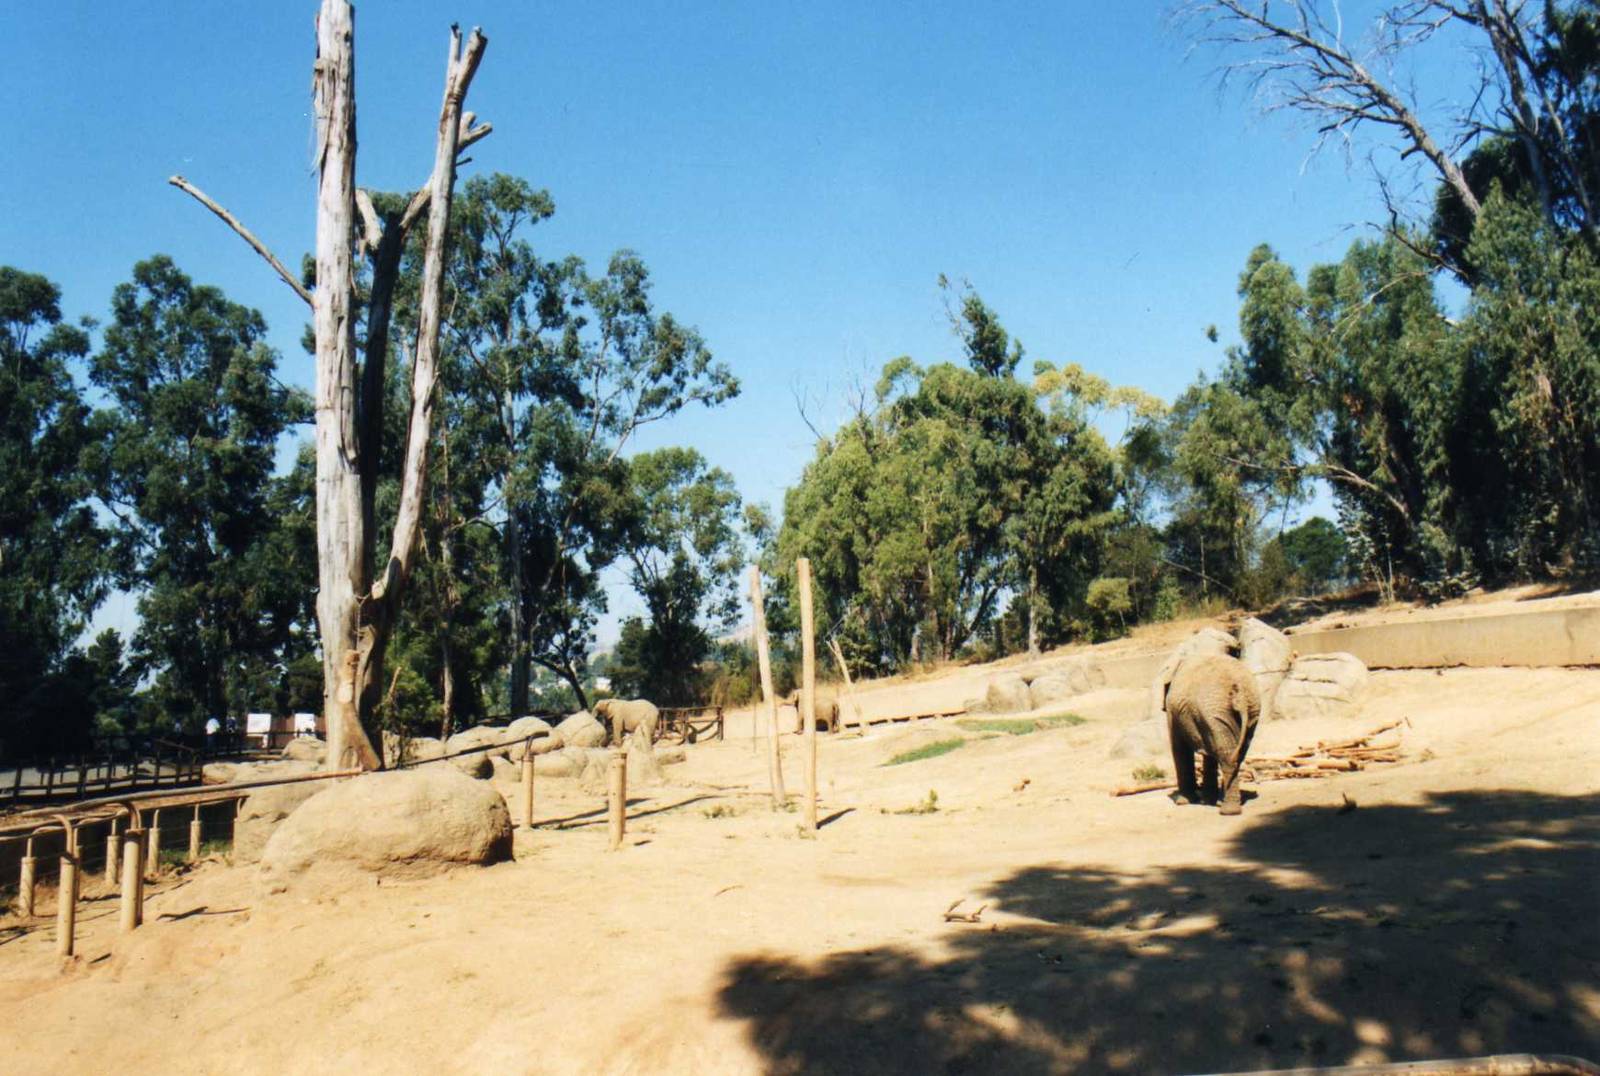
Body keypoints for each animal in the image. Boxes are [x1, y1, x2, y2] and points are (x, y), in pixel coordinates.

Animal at [1161, 653, 1261, 815]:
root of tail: (1239, 692)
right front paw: (1207, 801)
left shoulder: (1173, 712)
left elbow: (1179, 749)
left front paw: (1183, 802)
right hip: (1249, 711)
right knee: (1235, 752)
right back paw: (1223, 803)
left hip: (1215, 711)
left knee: (1226, 754)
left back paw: (1227, 811)